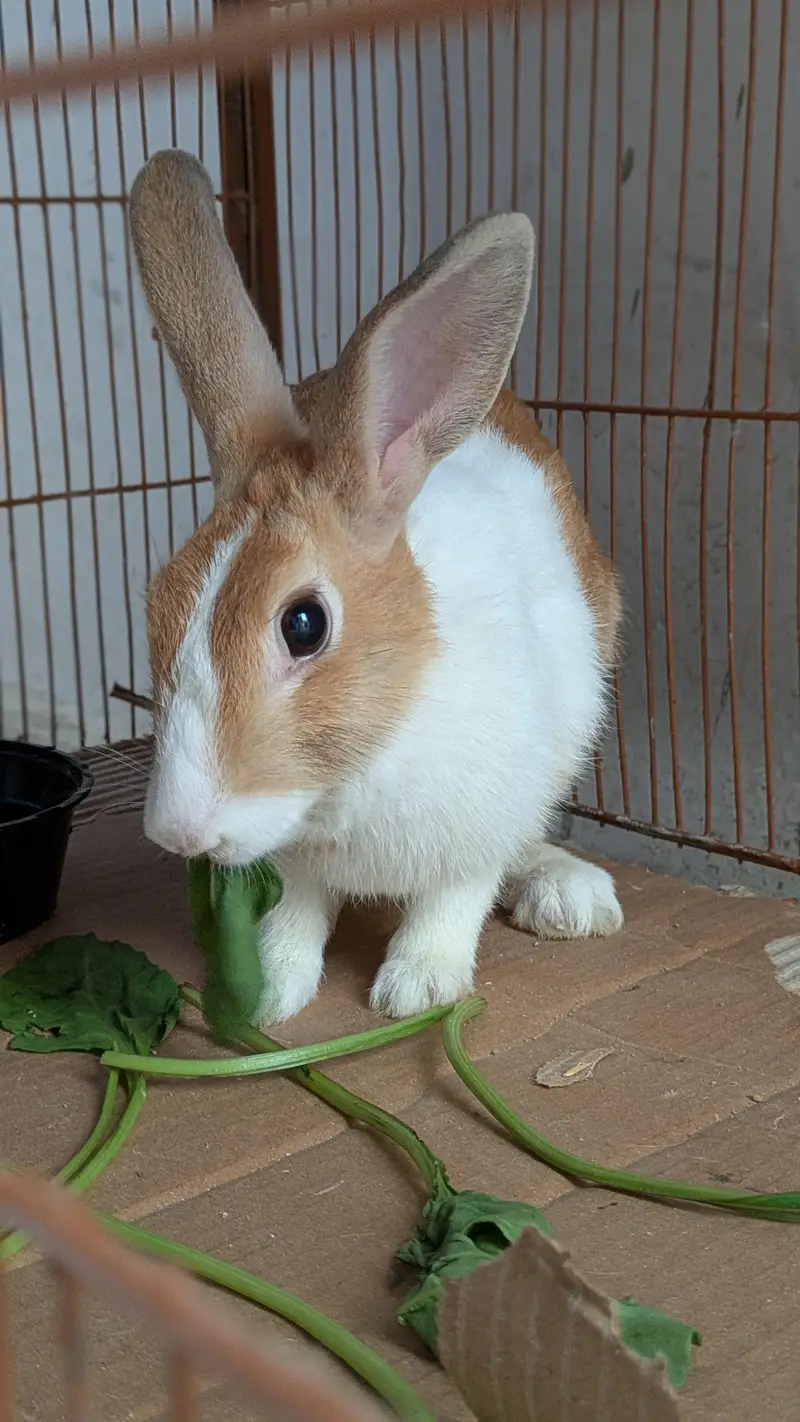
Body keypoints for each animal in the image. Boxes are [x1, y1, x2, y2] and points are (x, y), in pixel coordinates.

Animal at [129, 149, 624, 1025]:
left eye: (303, 624)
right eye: (157, 602)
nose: (181, 834)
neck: (353, 771)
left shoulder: (478, 825)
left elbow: (454, 899)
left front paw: (416, 988)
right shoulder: (291, 861)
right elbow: (295, 914)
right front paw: (270, 993)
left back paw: (569, 895)